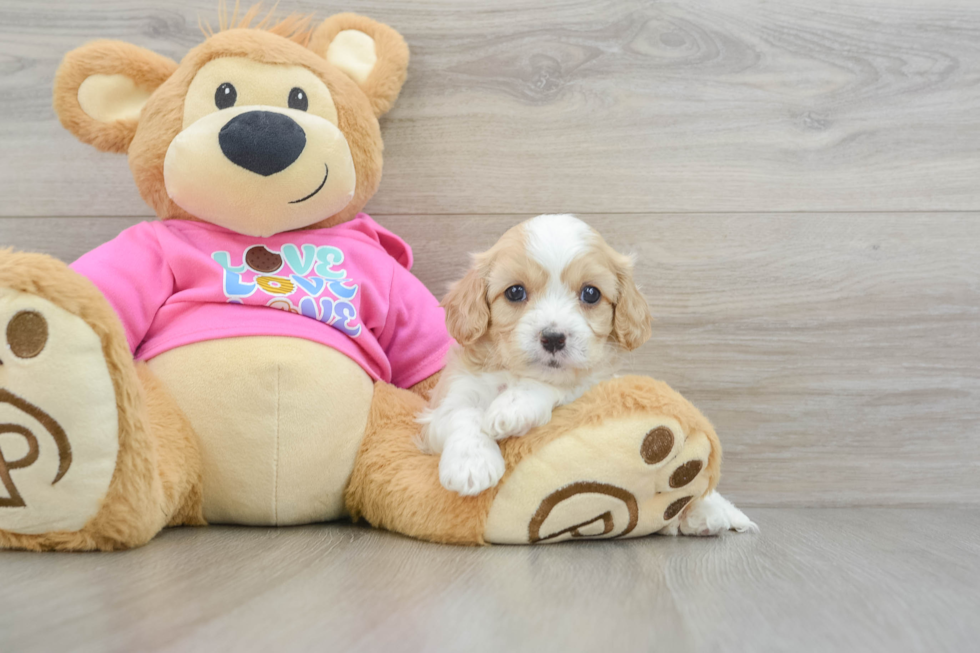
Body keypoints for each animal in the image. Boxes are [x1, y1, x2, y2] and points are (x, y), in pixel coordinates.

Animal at [420, 214, 656, 494]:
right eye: (515, 292)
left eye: (591, 293)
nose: (553, 338)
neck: (513, 375)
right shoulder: (448, 399)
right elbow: (462, 413)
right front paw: (471, 465)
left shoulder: (591, 386)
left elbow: (553, 385)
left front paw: (512, 408)